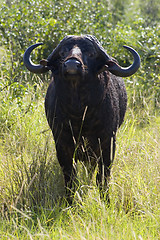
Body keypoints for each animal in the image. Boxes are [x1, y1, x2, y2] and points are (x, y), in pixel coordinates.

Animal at [23, 34, 140, 203]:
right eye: (63, 52)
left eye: (90, 53)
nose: (72, 64)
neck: (79, 114)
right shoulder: (62, 143)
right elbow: (70, 177)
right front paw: (70, 201)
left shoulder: (108, 143)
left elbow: (102, 177)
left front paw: (106, 200)